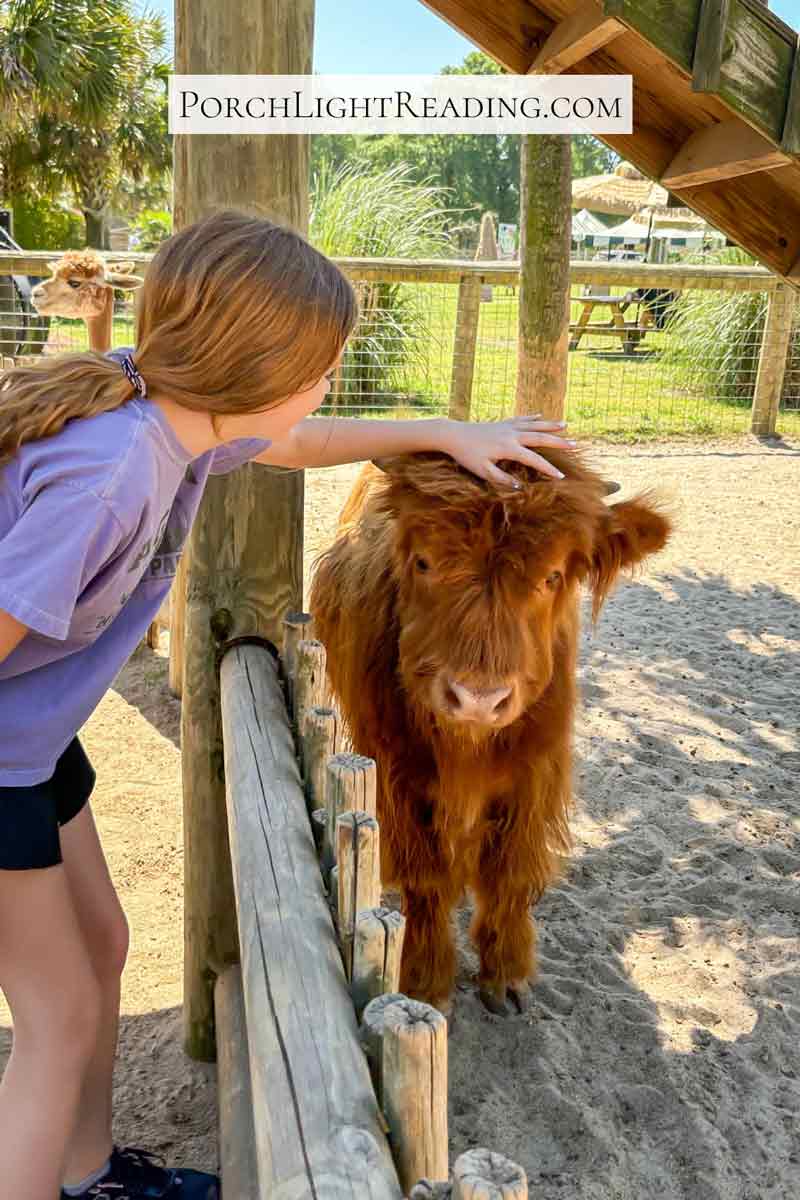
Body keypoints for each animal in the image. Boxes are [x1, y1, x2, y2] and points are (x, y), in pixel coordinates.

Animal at [310, 447, 671, 1017]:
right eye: (423, 562)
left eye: (552, 577)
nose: (478, 698)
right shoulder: (393, 773)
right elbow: (426, 878)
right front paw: (426, 978)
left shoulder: (535, 772)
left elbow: (510, 872)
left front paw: (507, 974)